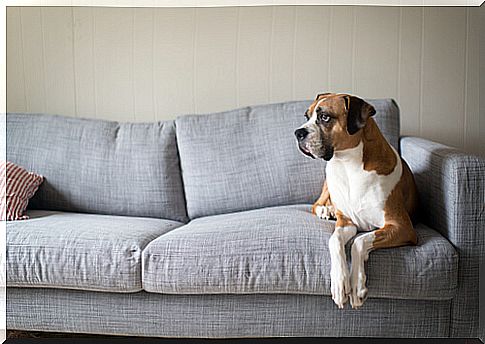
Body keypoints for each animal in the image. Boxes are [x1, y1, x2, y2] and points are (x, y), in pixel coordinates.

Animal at [294, 93, 418, 310]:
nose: (298, 133)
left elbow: (359, 242)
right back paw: (327, 210)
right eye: (307, 116)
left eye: (325, 117)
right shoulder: (346, 223)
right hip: (328, 183)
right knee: (317, 204)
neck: (347, 164)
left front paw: (356, 285)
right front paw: (339, 282)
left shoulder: (401, 227)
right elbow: (334, 240)